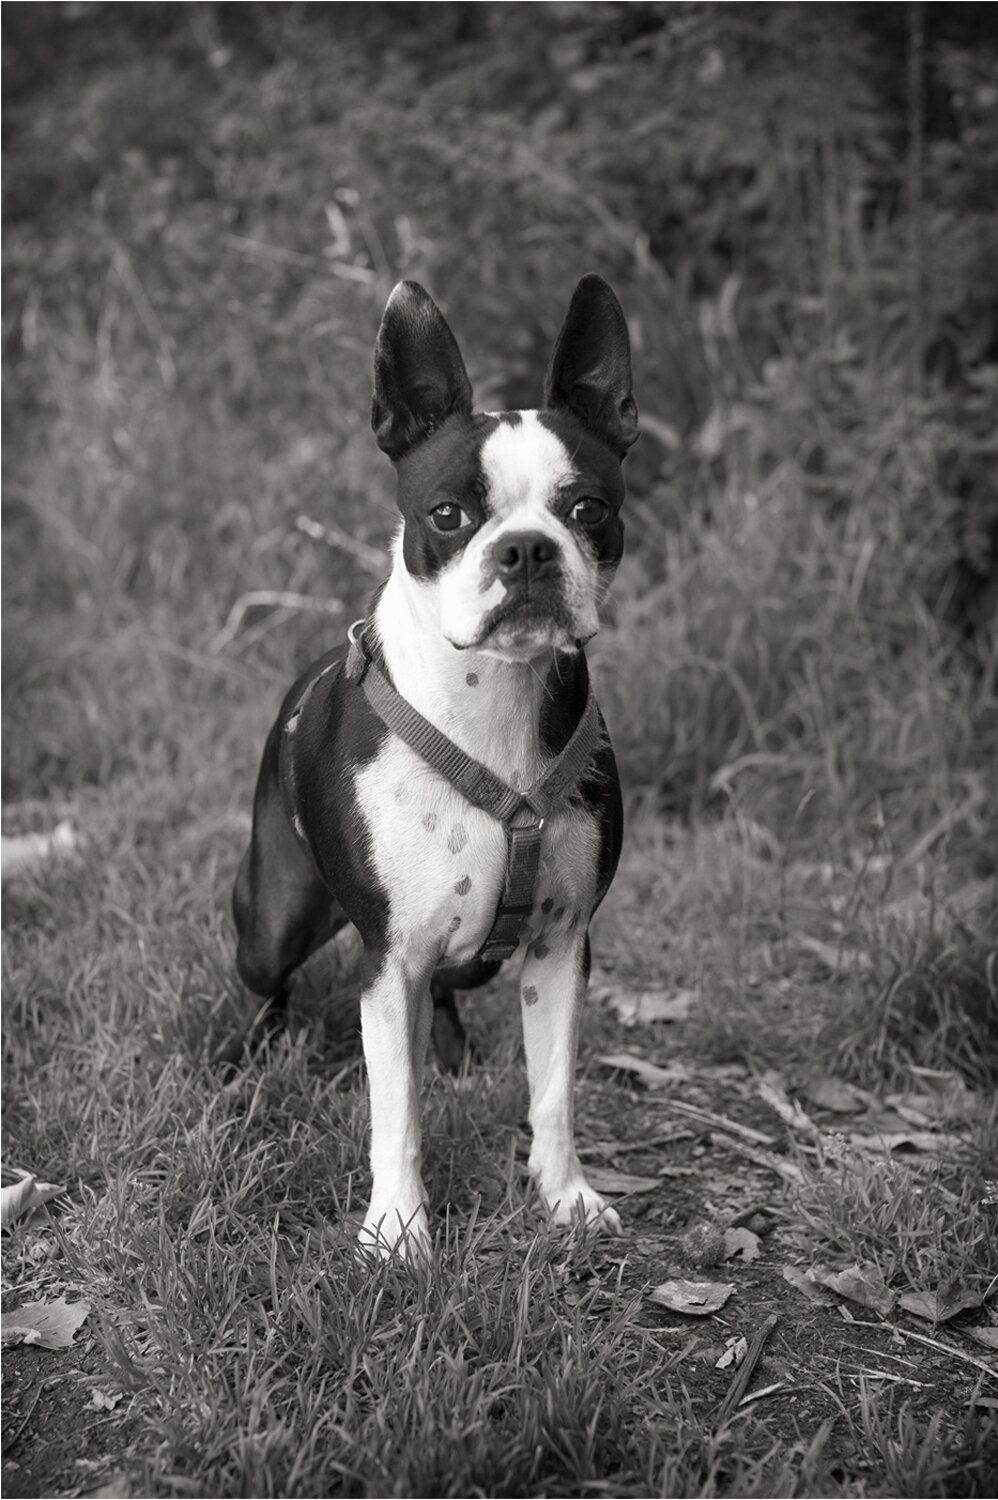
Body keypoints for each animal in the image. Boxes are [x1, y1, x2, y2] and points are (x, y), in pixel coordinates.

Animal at [231, 273, 639, 1254]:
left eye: (587, 510)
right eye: (448, 515)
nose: (525, 550)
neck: (493, 702)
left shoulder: (562, 944)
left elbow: (553, 1091)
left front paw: (565, 1197)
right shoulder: (391, 960)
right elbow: (397, 1110)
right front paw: (399, 1232)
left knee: (450, 997)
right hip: (274, 919)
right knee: (264, 983)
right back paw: (251, 1065)